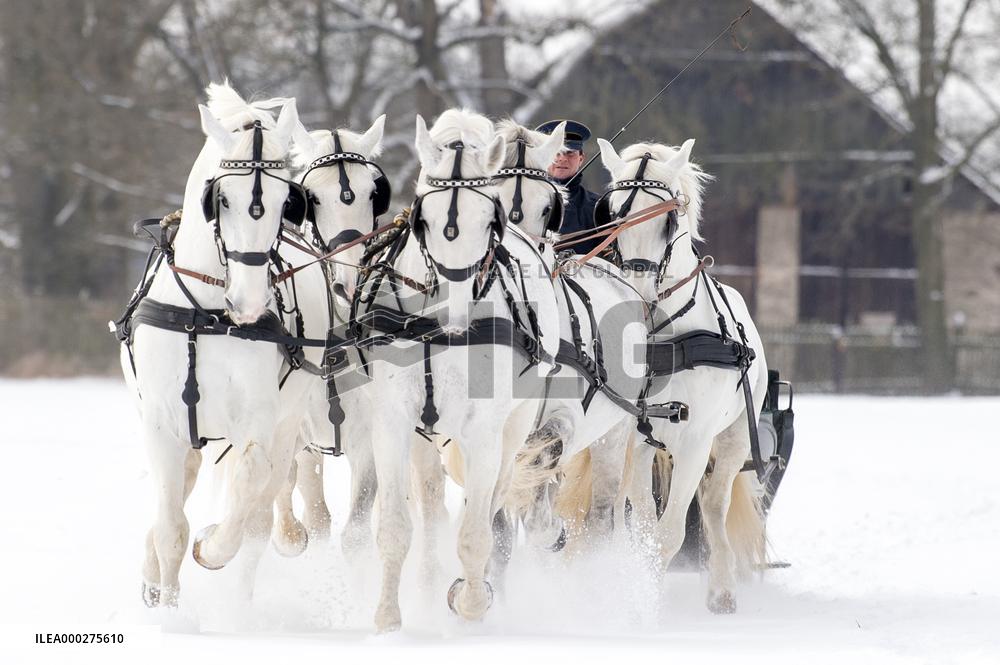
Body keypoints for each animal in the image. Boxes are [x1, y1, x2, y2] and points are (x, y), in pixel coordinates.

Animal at [120, 83, 328, 607]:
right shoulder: (160, 423)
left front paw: (211, 547)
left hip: (287, 420)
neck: (208, 313)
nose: (249, 301)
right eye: (222, 198)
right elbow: (171, 527)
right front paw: (167, 607)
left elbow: (247, 492)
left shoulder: (258, 421)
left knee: (260, 509)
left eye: (286, 199)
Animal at [596, 137, 768, 613]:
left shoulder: (695, 440)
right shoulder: (634, 439)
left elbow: (670, 532)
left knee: (713, 503)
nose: (636, 292)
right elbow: (641, 523)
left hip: (733, 440)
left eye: (668, 218)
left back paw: (722, 589)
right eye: (613, 213)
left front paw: (647, 606)